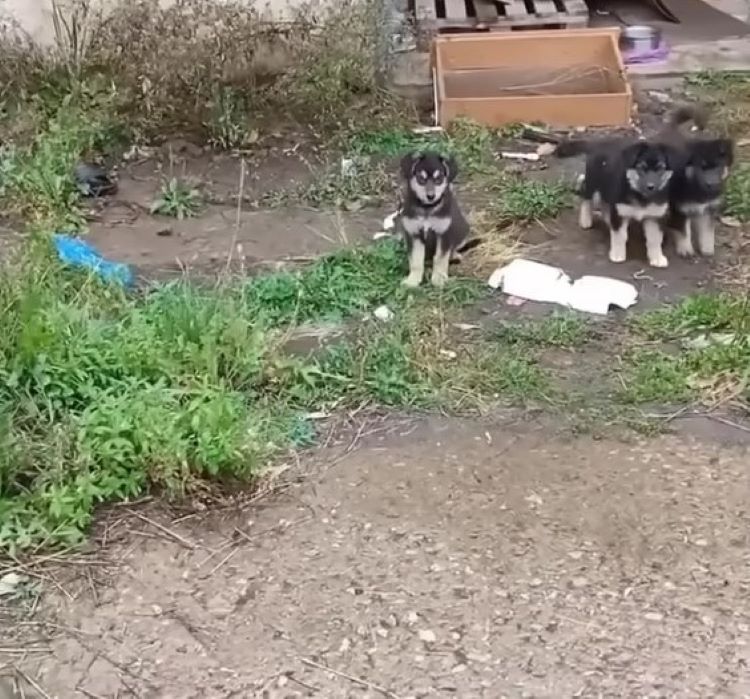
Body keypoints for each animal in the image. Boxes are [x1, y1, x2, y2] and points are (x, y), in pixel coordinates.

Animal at [400, 151, 470, 288]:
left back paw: (455, 256)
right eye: (421, 179)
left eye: (438, 179)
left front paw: (439, 279)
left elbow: (440, 258)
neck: (427, 209)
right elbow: (416, 261)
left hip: (463, 232)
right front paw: (413, 280)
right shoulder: (414, 233)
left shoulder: (444, 233)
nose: (431, 196)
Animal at [556, 139, 680, 268]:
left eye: (660, 169)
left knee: (605, 204)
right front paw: (617, 255)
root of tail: (599, 142)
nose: (651, 187)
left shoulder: (655, 216)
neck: (640, 195)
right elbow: (619, 236)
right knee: (586, 198)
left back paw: (607, 220)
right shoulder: (620, 211)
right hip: (593, 184)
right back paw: (586, 220)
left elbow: (655, 239)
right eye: (641, 168)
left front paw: (657, 258)